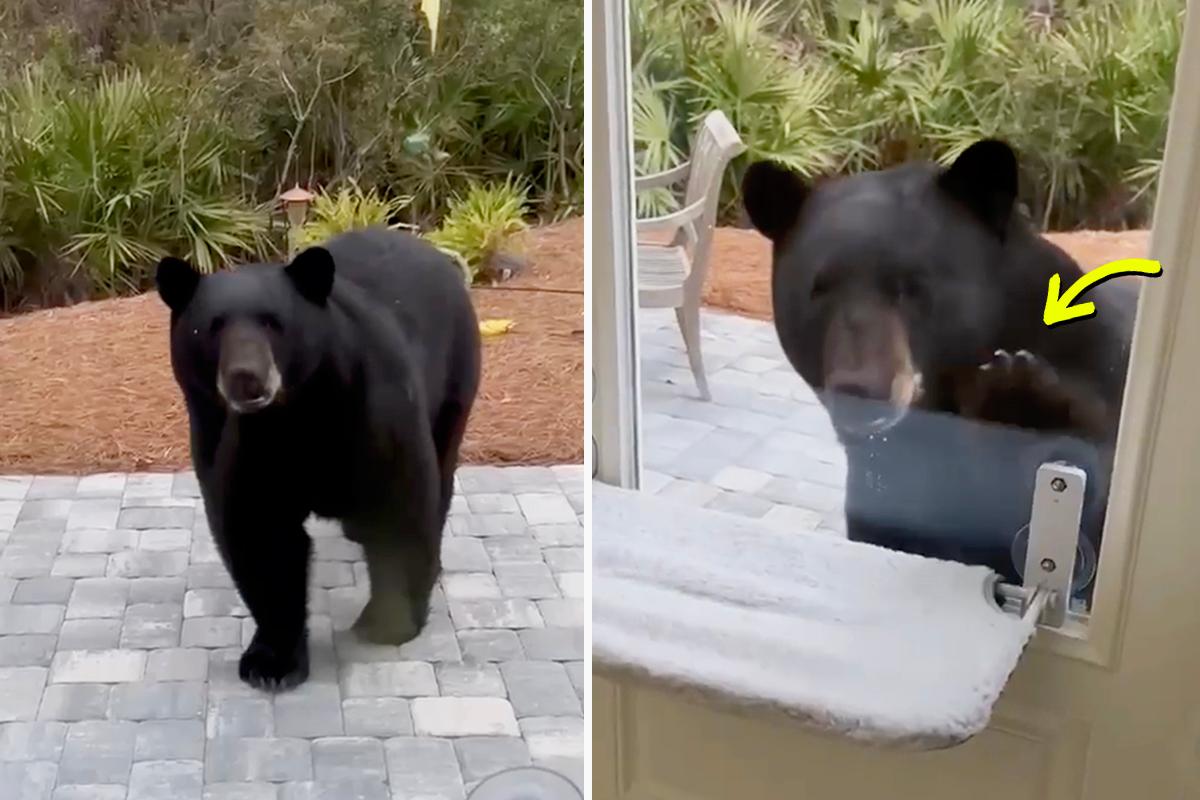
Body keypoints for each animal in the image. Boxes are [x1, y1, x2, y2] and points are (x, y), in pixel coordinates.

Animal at [156, 226, 481, 690]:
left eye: (273, 321)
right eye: (211, 327)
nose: (246, 377)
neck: (294, 416)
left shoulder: (371, 409)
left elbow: (399, 504)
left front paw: (385, 624)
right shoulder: (234, 439)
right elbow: (260, 534)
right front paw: (271, 661)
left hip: (454, 378)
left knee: (441, 467)